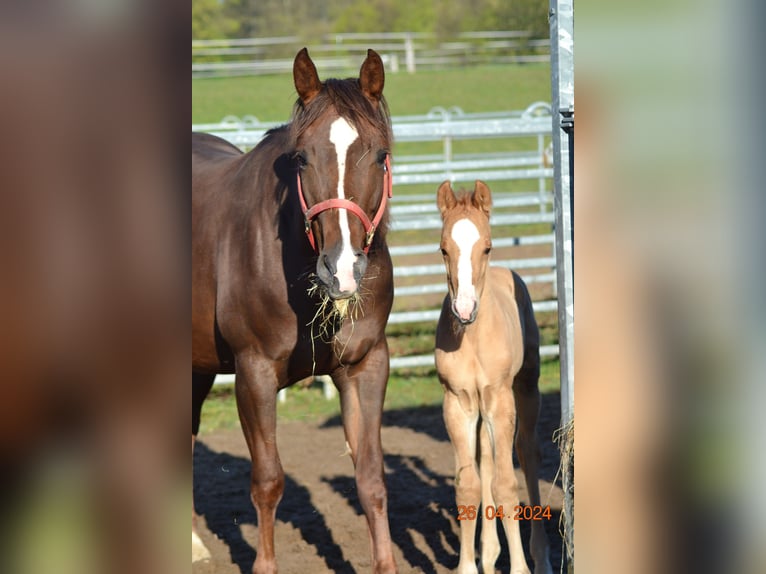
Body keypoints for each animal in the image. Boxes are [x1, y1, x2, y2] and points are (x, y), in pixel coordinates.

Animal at [192, 49, 400, 574]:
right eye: (302, 158)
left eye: (381, 155)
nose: (341, 270)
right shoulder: (255, 373)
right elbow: (268, 481)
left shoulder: (366, 365)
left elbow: (371, 478)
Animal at [436, 181, 556, 574]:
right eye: (443, 248)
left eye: (486, 246)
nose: (464, 309)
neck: (473, 338)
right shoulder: (458, 403)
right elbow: (468, 486)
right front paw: (468, 566)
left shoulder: (501, 399)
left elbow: (506, 485)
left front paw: (520, 568)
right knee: (485, 460)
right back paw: (488, 554)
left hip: (526, 388)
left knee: (527, 454)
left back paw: (541, 558)